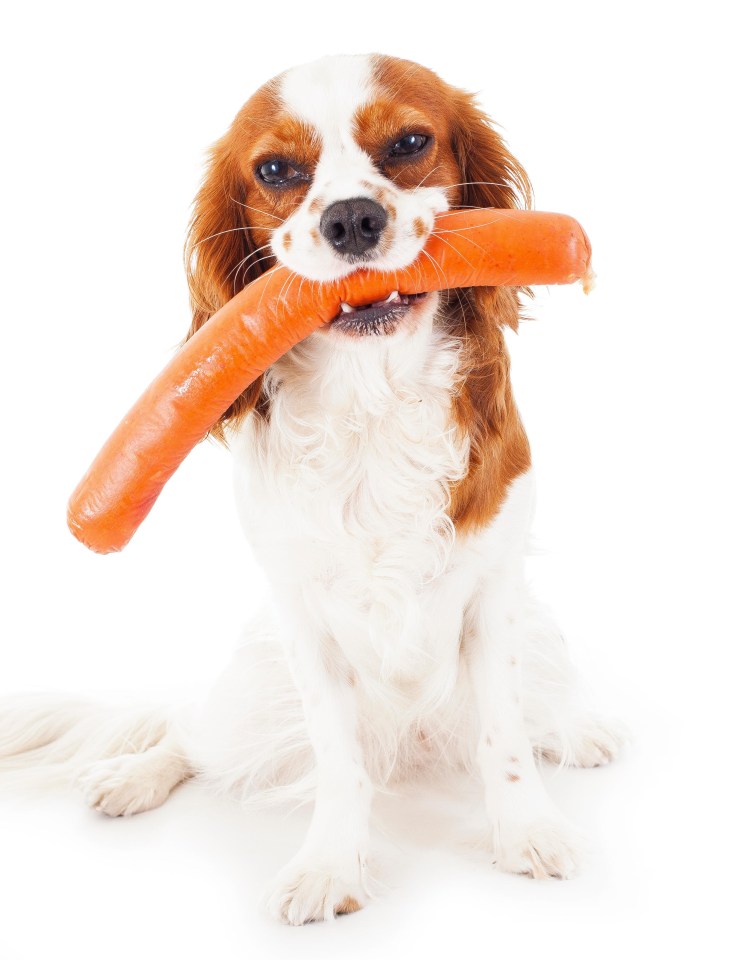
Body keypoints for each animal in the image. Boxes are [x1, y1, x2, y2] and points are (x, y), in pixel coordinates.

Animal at [0, 52, 624, 924]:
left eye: (409, 143)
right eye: (275, 170)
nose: (353, 220)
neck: (371, 400)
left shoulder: (495, 597)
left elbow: (502, 733)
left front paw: (526, 830)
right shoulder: (304, 621)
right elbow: (337, 756)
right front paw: (330, 865)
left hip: (537, 628)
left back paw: (575, 729)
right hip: (256, 694)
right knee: (189, 734)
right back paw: (134, 776)